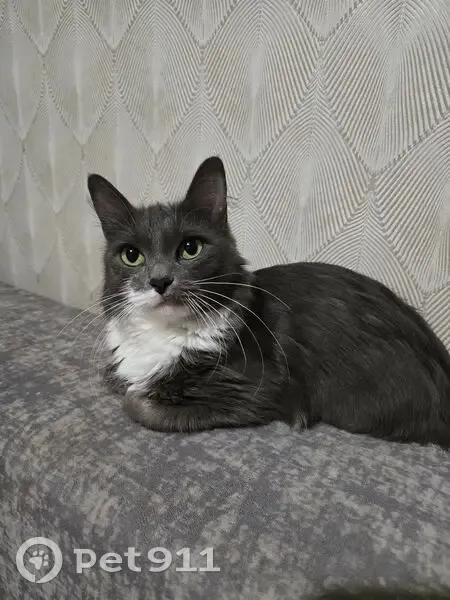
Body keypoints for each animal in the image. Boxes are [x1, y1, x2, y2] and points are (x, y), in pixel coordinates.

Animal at [88, 156, 450, 446]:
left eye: (190, 248)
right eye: (131, 256)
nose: (160, 281)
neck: (165, 333)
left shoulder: (253, 388)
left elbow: (136, 403)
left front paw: (137, 395)